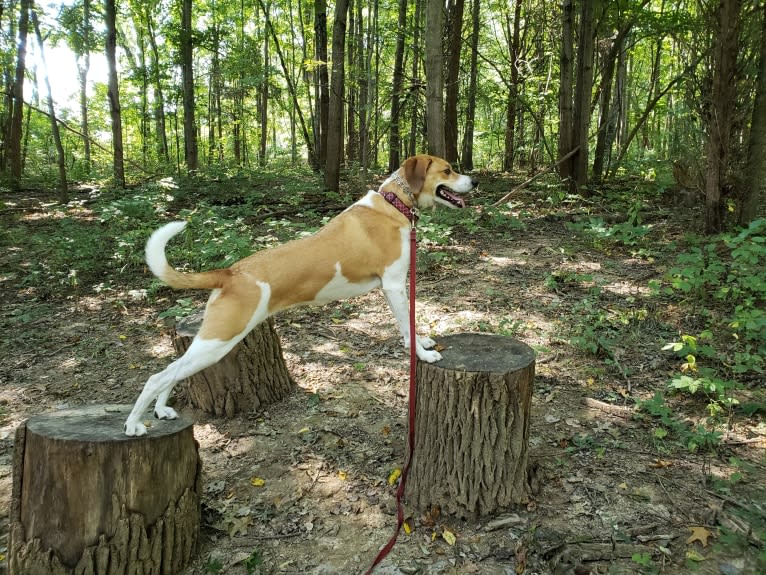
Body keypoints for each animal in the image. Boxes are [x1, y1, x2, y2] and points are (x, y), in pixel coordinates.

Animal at [123, 155, 476, 434]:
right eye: (447, 170)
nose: (474, 181)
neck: (394, 203)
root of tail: (231, 272)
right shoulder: (393, 284)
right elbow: (406, 327)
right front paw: (423, 354)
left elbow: (410, 326)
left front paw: (423, 341)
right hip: (219, 341)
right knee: (157, 376)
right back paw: (133, 424)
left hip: (211, 341)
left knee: (172, 371)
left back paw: (161, 409)